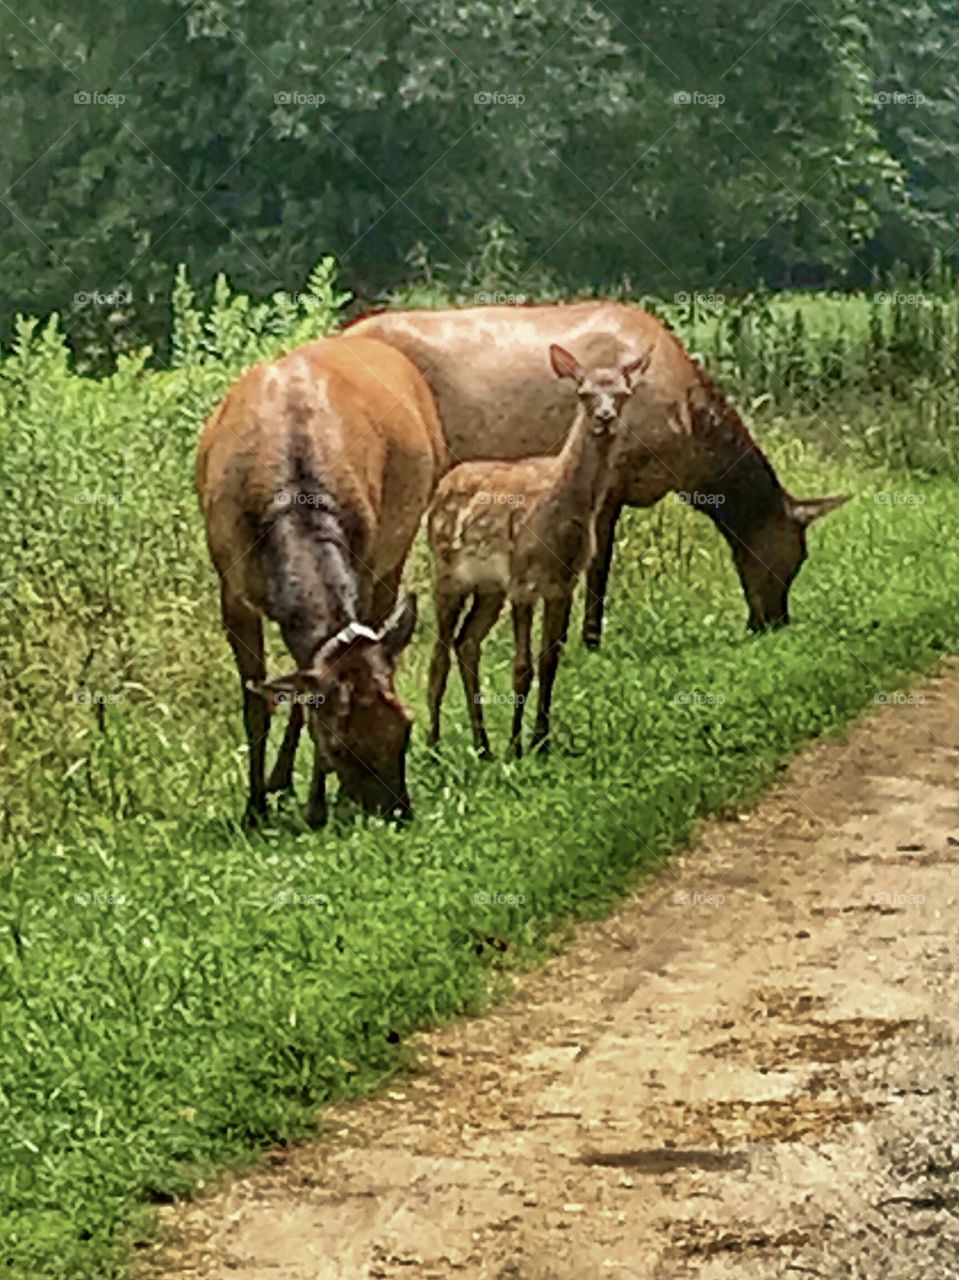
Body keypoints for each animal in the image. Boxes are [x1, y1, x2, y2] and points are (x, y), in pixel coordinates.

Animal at [197, 335, 448, 824]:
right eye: (340, 745)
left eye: (406, 725)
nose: (396, 811)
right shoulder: (231, 586)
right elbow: (257, 703)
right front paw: (255, 808)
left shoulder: (365, 560)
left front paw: (314, 806)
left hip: (397, 546)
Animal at [343, 298, 845, 640]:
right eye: (796, 556)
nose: (774, 621)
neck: (690, 442)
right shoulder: (611, 477)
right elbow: (598, 565)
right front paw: (588, 639)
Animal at [427, 343, 650, 757]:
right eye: (584, 393)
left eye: (623, 393)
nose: (605, 417)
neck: (560, 512)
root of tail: (442, 485)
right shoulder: (522, 580)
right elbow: (522, 667)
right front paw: (517, 747)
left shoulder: (562, 583)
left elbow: (549, 663)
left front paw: (540, 741)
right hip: (448, 572)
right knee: (440, 655)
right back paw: (434, 747)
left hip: (489, 589)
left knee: (467, 644)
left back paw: (482, 746)